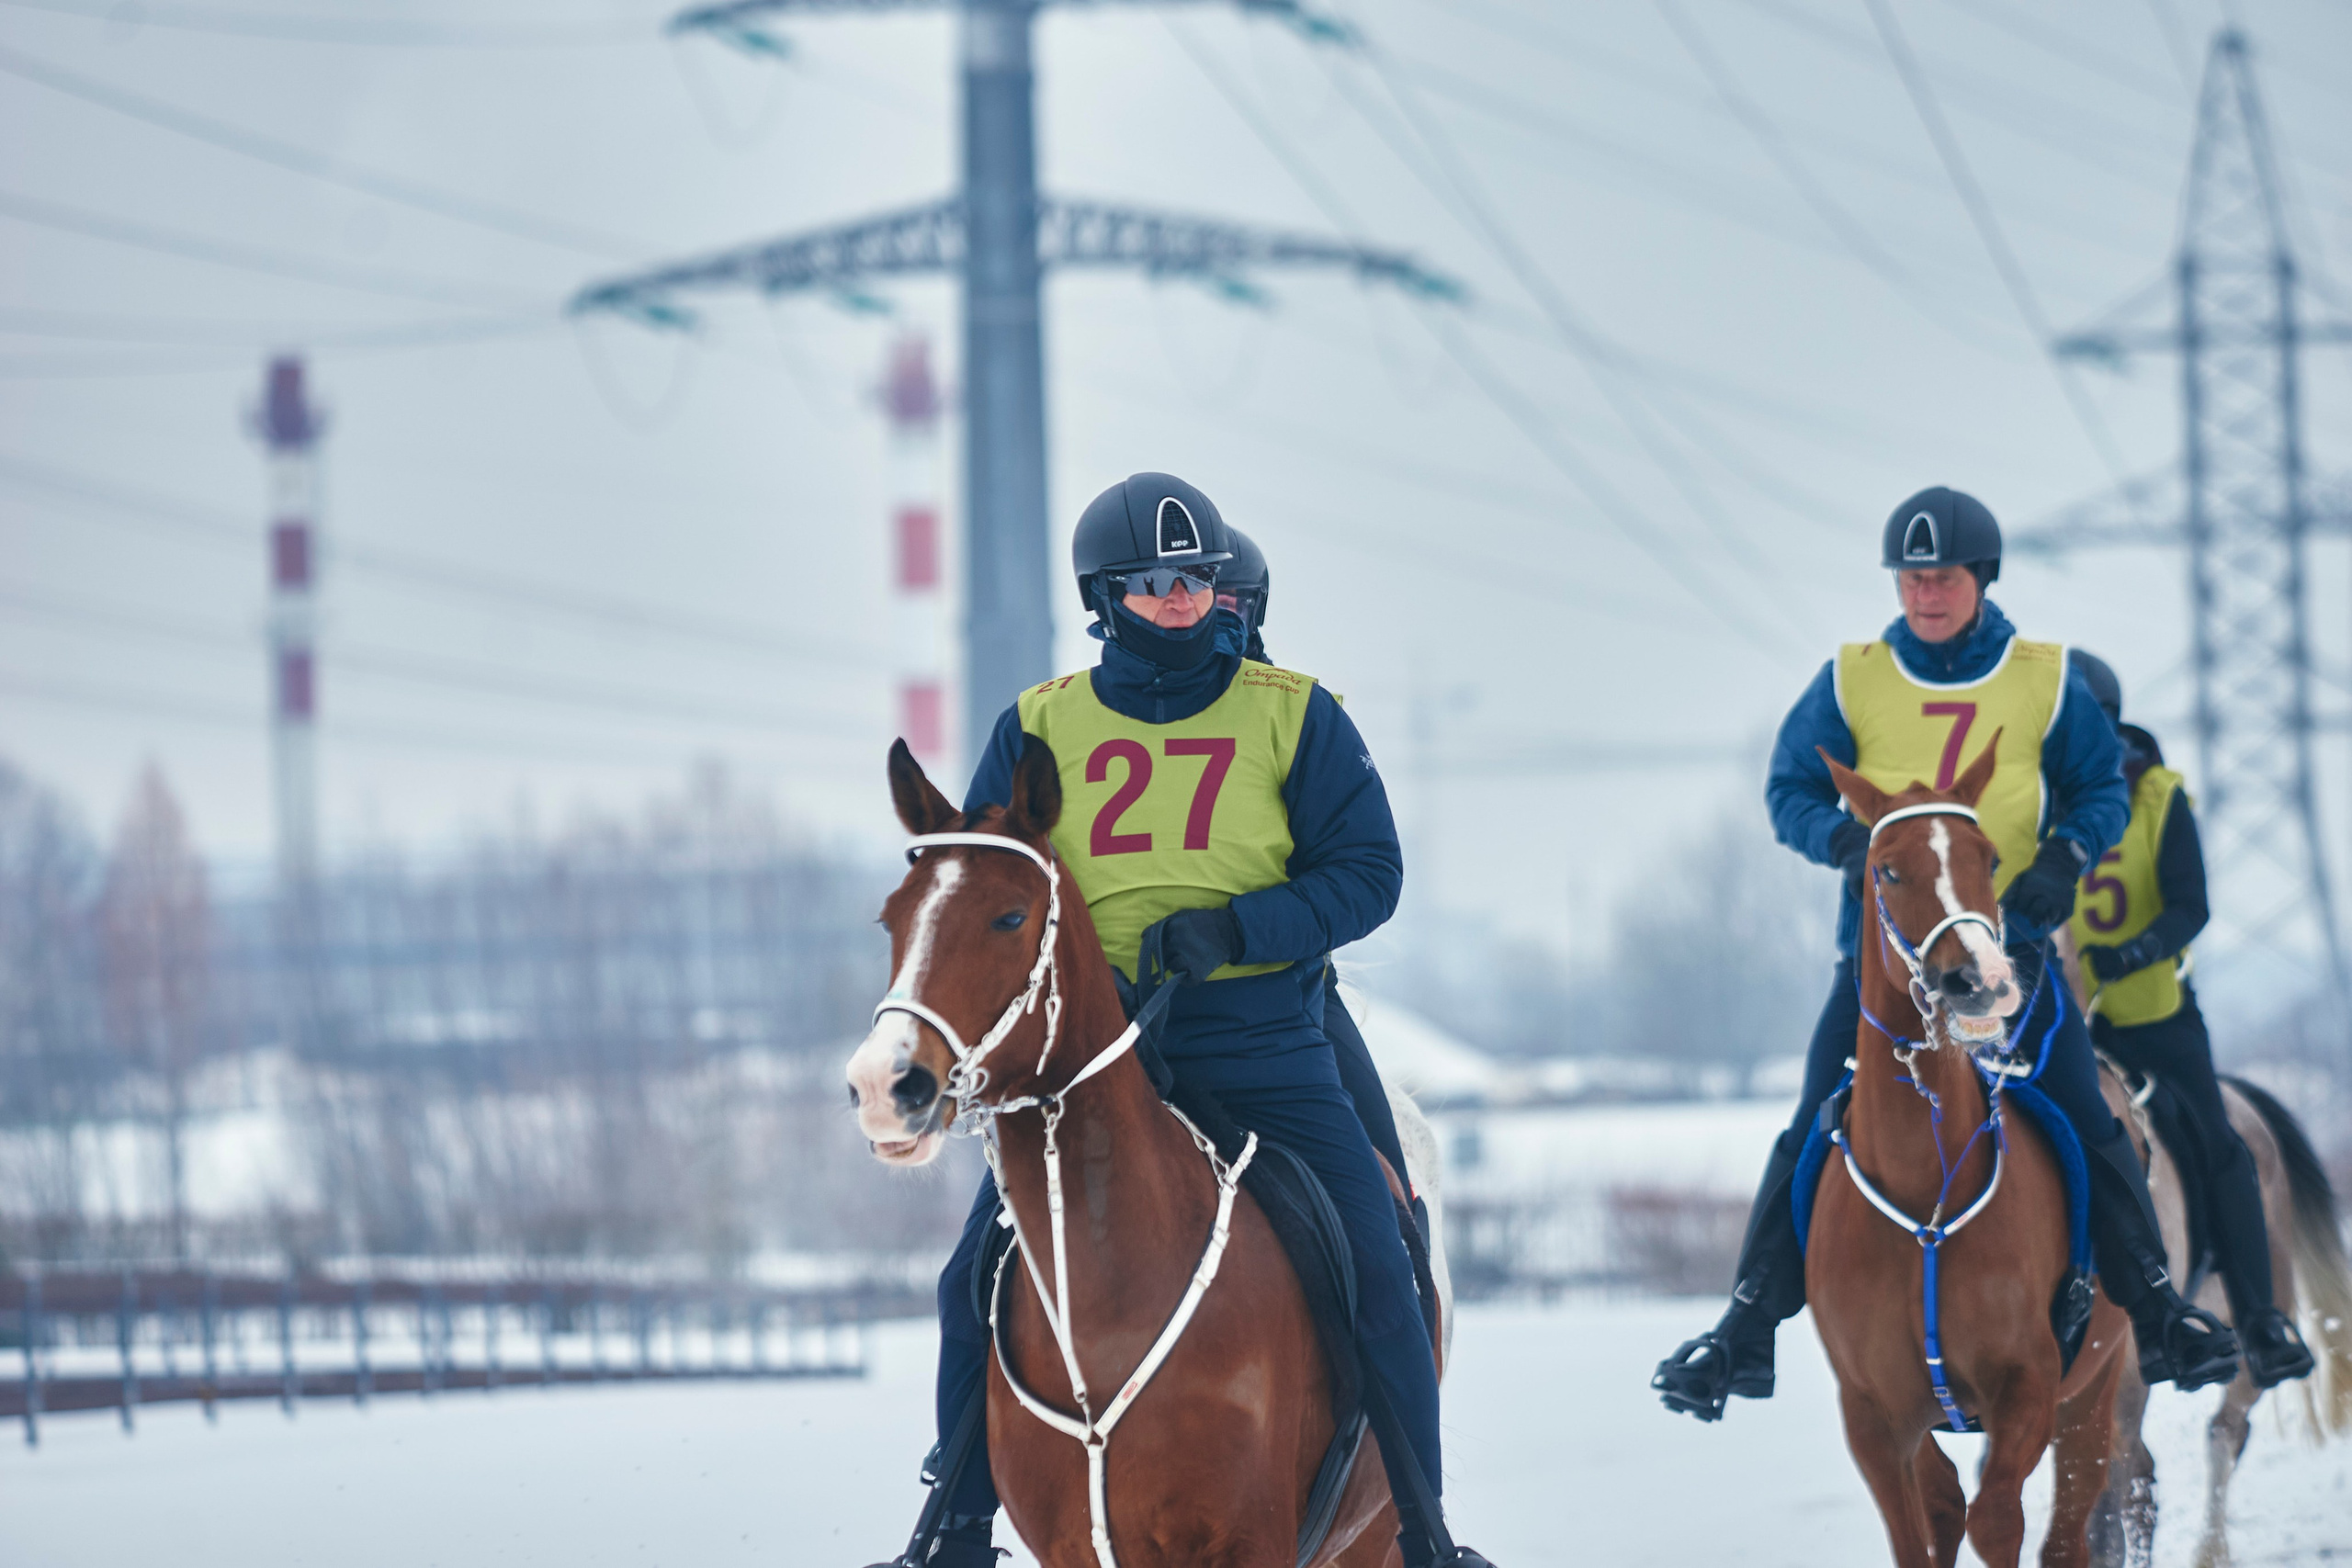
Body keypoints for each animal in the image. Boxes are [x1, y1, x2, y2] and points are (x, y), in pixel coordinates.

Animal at [843, 737, 1451, 1568]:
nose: (884, 1082)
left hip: (1371, 1538)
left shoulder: (1250, 1541)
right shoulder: (1071, 1548)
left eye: (1009, 915)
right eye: (891, 919)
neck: (1106, 1311)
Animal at [1811, 744, 2138, 1568]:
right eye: (1887, 870)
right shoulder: (1875, 1416)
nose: (1981, 980)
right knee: (1947, 1503)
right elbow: (1923, 1530)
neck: (1924, 1182)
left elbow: (1998, 1522)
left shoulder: (2029, 1382)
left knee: (2066, 1532)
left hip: (2094, 1389)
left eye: (1987, 858)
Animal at [2050, 941, 2352, 1568]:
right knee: (2145, 1477)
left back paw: (2210, 1550)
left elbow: (2101, 1503)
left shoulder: (2120, 1372)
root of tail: (2236, 1094)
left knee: (2222, 1435)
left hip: (2258, 1319)